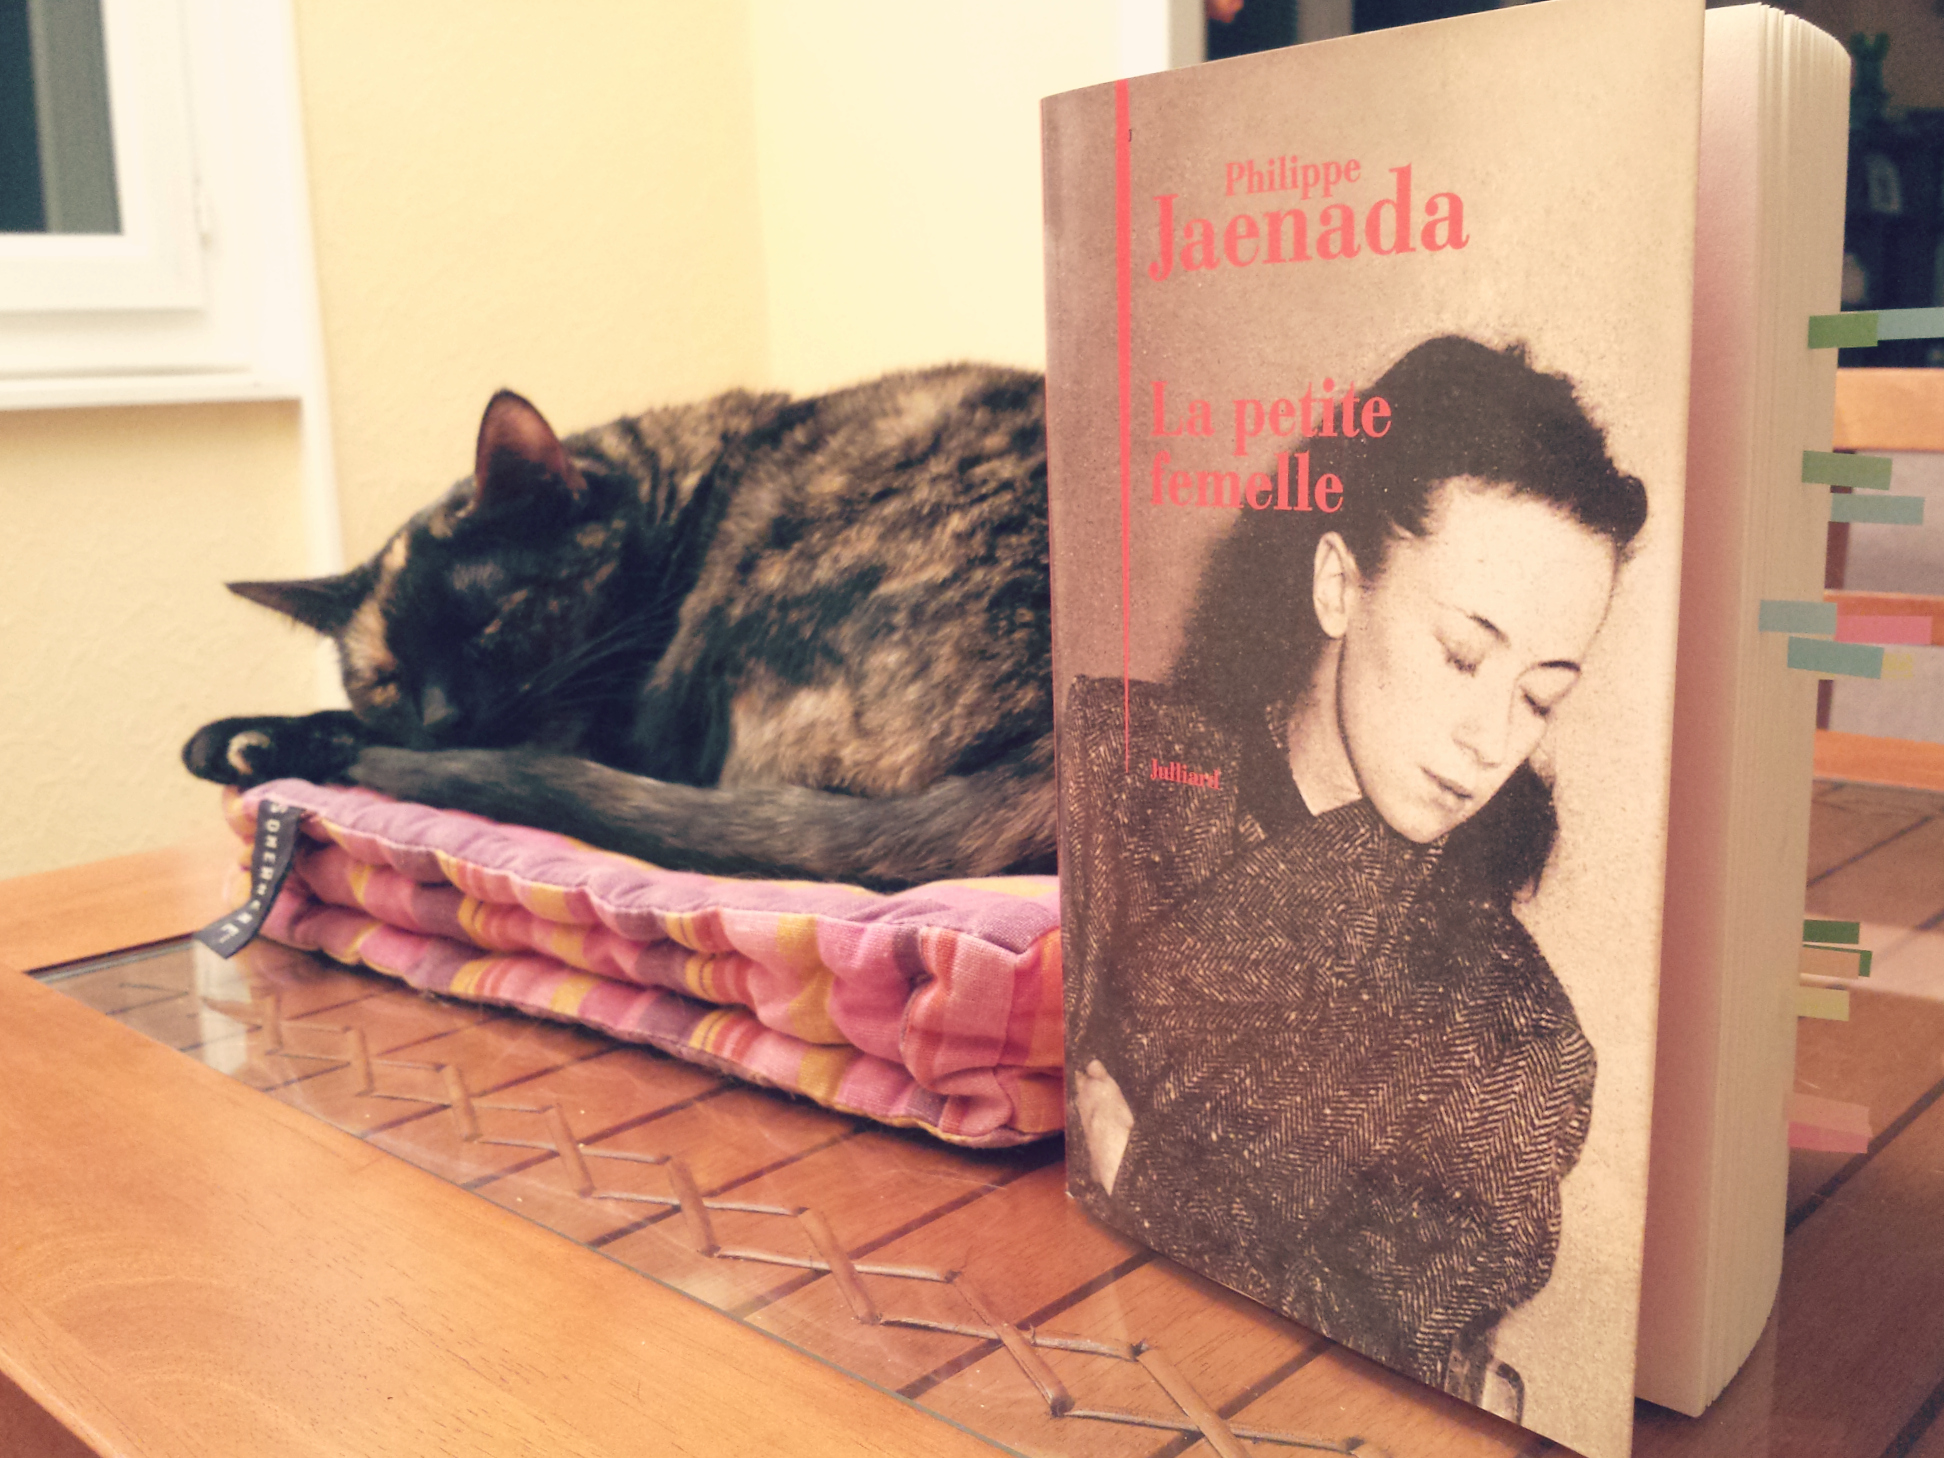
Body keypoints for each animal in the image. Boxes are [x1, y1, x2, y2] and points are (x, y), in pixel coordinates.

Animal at [183, 364, 1054, 889]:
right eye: (387, 679)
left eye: (491, 622)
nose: (444, 718)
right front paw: (243, 740)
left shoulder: (599, 726)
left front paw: (257, 740)